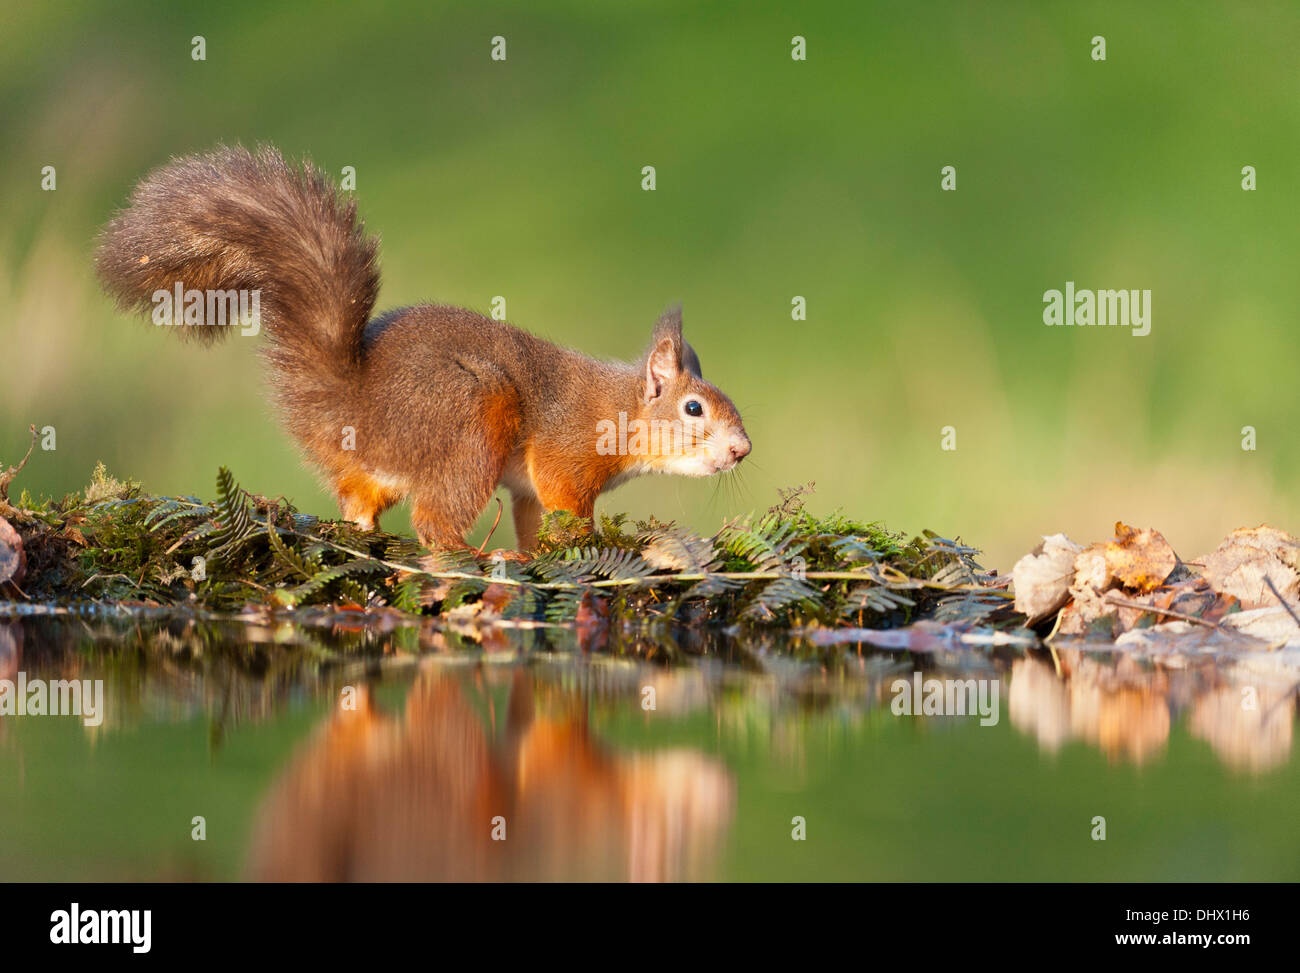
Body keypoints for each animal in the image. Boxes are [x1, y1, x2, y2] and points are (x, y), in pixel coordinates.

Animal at [96, 146, 754, 551]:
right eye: (694, 408)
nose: (743, 450)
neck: (619, 409)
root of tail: (349, 403)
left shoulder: (525, 489)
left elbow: (532, 518)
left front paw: (539, 551)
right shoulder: (565, 451)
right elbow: (566, 503)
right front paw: (586, 546)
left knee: (362, 506)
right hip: (472, 416)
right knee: (434, 524)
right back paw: (478, 555)